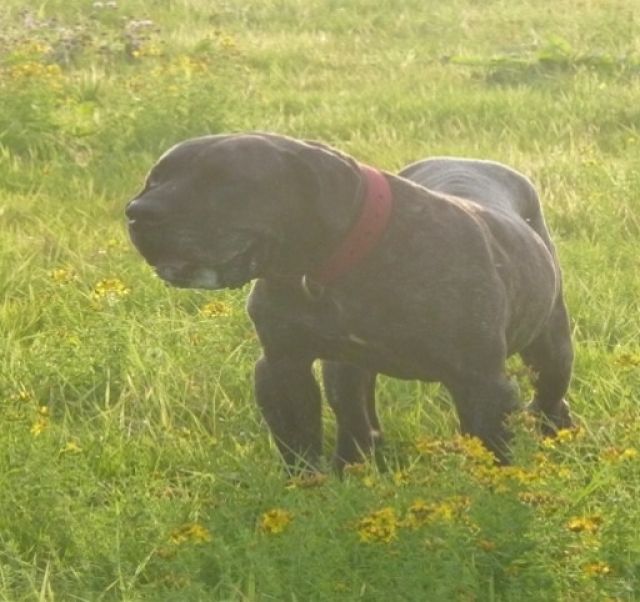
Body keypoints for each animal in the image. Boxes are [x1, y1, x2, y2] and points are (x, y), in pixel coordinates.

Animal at [126, 132, 576, 468]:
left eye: (224, 181)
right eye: (154, 179)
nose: (138, 210)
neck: (332, 267)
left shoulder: (481, 384)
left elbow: (493, 458)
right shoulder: (282, 365)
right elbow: (300, 449)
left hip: (551, 351)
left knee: (550, 397)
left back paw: (559, 435)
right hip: (345, 368)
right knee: (356, 417)